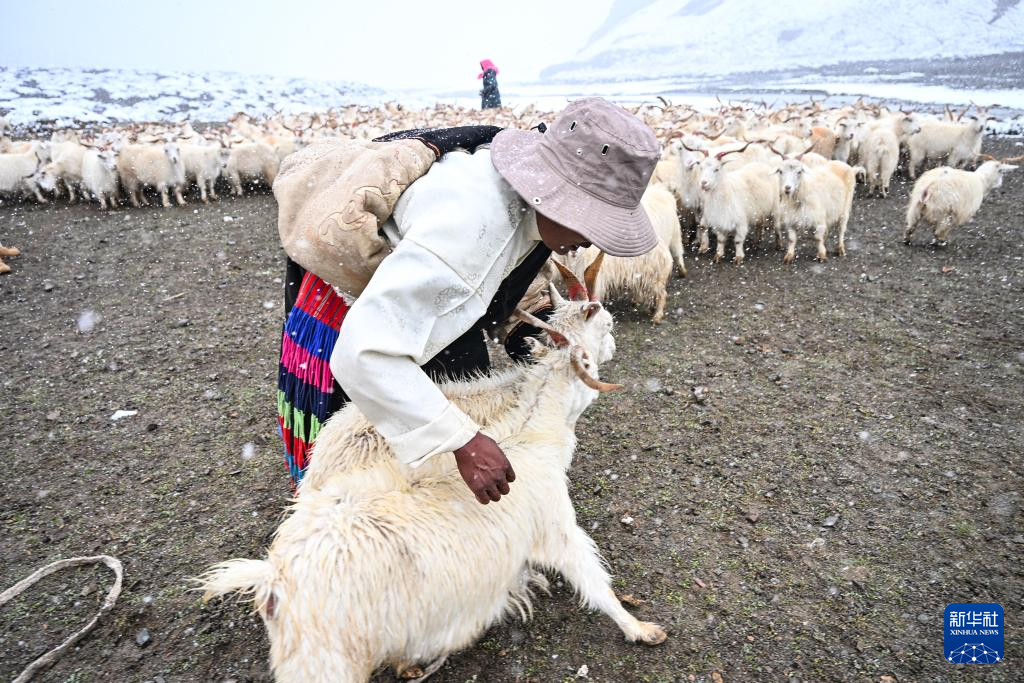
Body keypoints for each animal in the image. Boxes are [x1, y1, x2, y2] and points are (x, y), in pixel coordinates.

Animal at [200, 269, 667, 683]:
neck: (530, 430)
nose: (614, 347)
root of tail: (272, 580)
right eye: (606, 324)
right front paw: (640, 629)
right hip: (323, 660)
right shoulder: (557, 528)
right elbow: (594, 579)